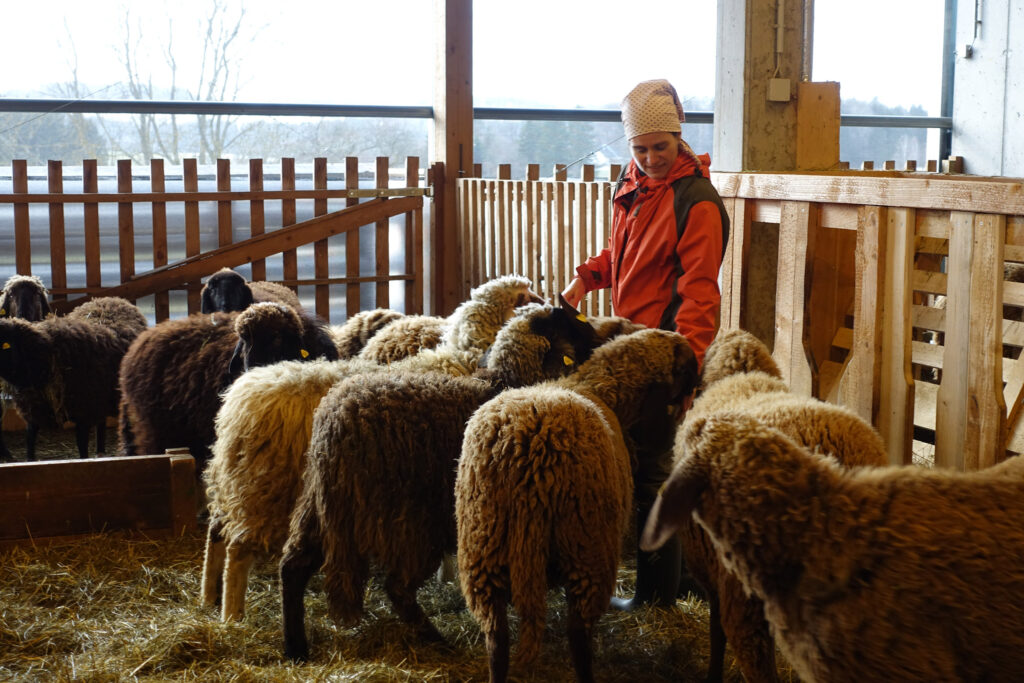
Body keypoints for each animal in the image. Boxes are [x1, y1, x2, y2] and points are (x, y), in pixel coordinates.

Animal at [276, 301, 602, 663]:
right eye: (574, 327)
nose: (601, 343)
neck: (506, 381)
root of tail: (334, 420)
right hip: (408, 520)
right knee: (397, 587)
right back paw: (436, 640)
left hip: (319, 505)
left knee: (292, 566)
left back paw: (296, 647)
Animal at [458, 329, 704, 683]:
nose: (697, 386)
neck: (601, 389)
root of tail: (527, 453)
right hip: (586, 548)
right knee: (578, 635)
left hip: (482, 550)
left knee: (496, 638)